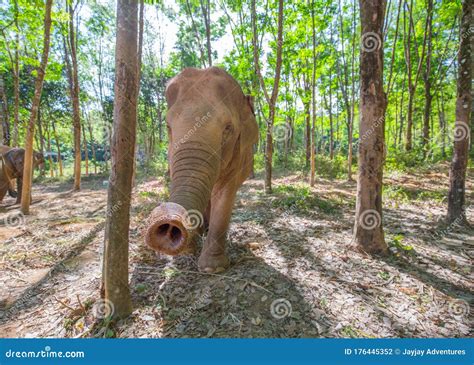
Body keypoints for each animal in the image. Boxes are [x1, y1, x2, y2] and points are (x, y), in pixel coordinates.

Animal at [145, 67, 260, 272]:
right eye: (168, 127)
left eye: (228, 128)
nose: (169, 226)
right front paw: (189, 250)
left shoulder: (239, 155)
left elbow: (224, 193)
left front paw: (212, 268)